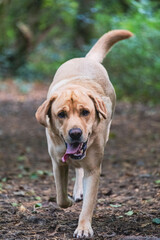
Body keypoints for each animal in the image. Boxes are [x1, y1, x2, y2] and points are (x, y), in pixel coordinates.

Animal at [35, 29, 133, 238]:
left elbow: (88, 204)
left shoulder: (93, 169)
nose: (75, 133)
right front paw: (69, 200)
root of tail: (87, 59)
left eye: (85, 112)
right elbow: (61, 197)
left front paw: (83, 227)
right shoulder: (57, 163)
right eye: (61, 114)